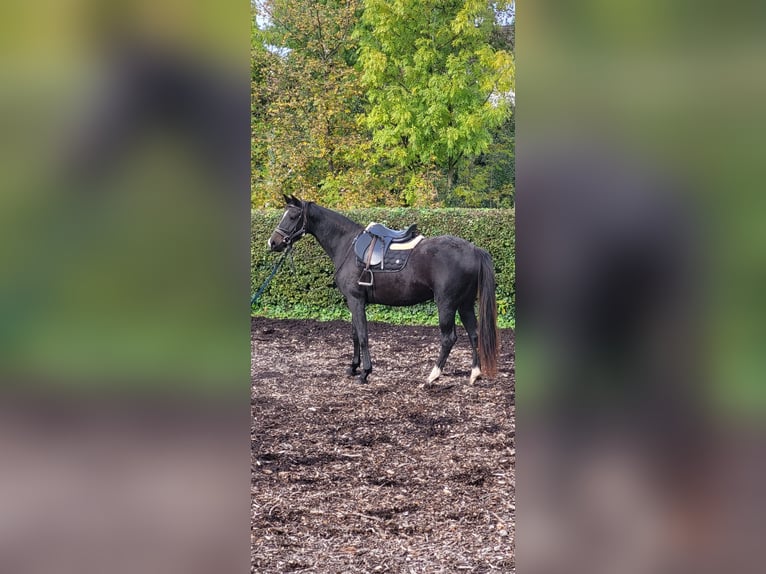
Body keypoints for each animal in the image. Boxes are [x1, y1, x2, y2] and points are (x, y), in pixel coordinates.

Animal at [268, 197, 500, 388]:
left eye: (293, 216)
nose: (273, 242)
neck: (347, 245)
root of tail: (473, 249)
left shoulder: (356, 300)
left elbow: (363, 335)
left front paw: (365, 373)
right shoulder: (353, 301)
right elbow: (354, 334)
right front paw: (353, 367)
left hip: (447, 304)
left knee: (448, 338)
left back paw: (432, 376)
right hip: (465, 304)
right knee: (474, 334)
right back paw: (474, 374)